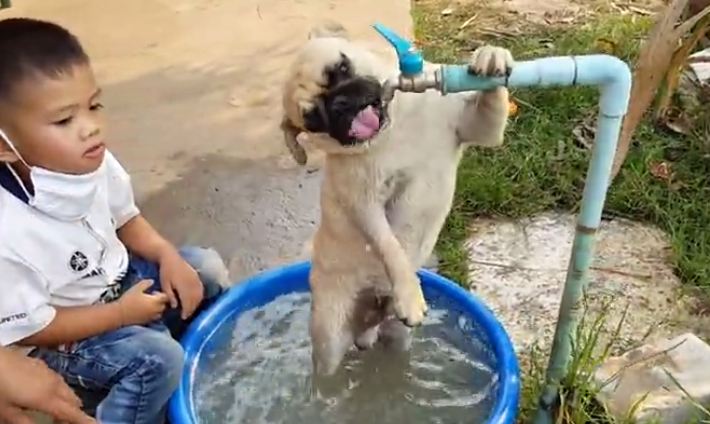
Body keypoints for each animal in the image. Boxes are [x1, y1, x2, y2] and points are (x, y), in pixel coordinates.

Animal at [280, 22, 516, 378]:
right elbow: (390, 248)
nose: (339, 104)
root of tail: (367, 324)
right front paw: (408, 293)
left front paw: (491, 57)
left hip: (397, 336)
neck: (392, 130)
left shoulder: (475, 125)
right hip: (329, 336)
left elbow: (489, 102)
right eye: (313, 119)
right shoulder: (366, 205)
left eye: (341, 68)